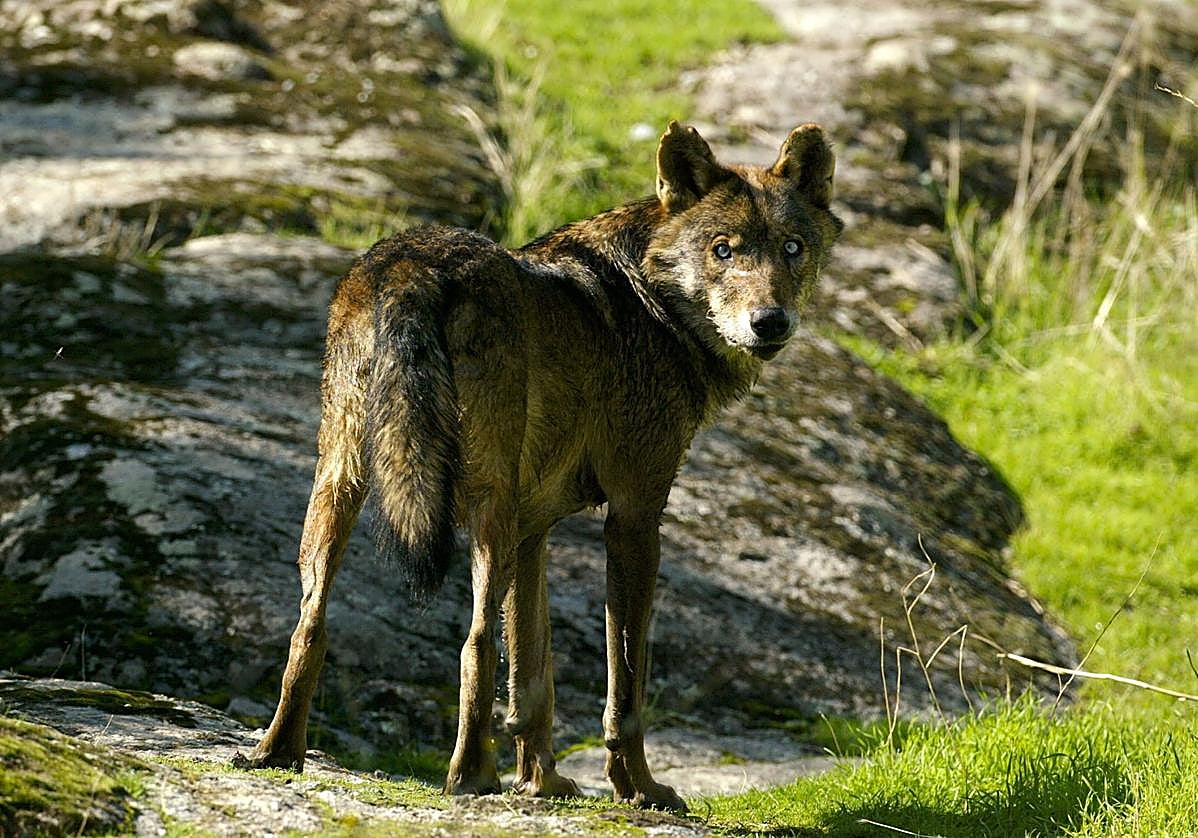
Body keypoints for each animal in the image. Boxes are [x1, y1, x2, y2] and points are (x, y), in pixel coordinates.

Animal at [240, 121, 842, 812]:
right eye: (723, 251)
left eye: (792, 248)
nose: (770, 322)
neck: (652, 301)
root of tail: (411, 264)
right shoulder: (634, 518)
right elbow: (624, 684)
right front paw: (638, 788)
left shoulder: (535, 530)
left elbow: (533, 678)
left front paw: (541, 783)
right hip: (486, 507)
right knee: (474, 640)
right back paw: (469, 777)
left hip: (342, 484)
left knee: (309, 624)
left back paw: (277, 753)